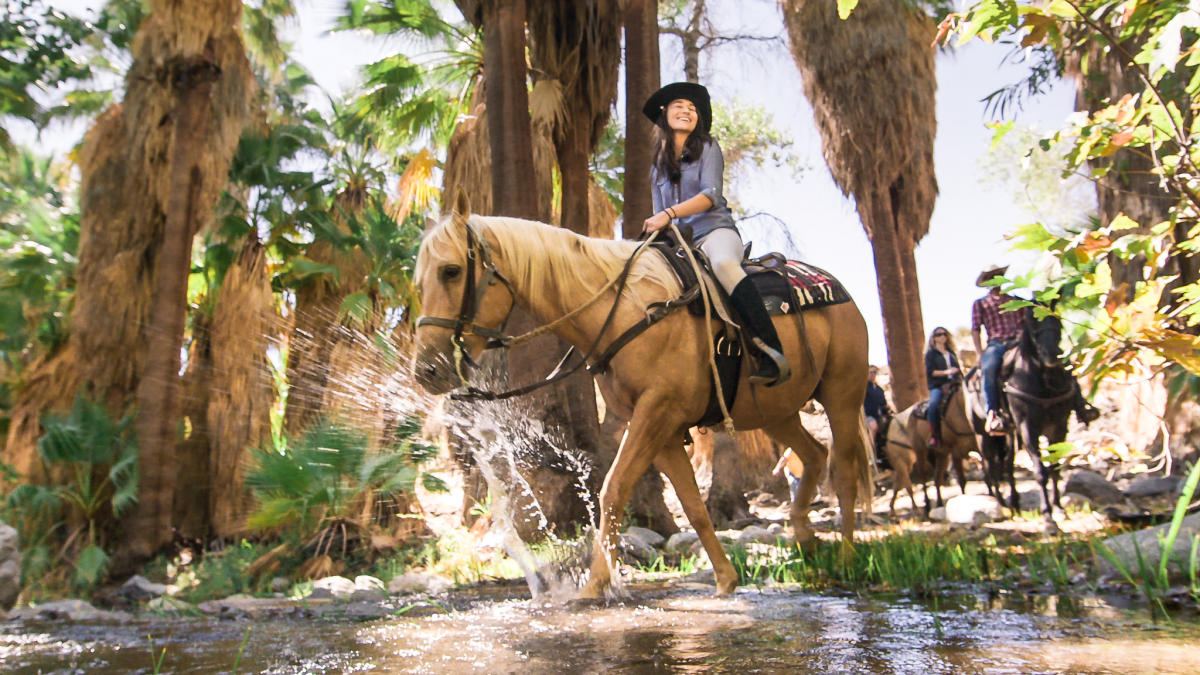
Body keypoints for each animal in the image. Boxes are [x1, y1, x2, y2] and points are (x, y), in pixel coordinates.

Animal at [412, 199, 873, 593]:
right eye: (418, 283)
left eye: (451, 271)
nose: (427, 370)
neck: (626, 310)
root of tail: (837, 289)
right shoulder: (661, 428)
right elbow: (693, 505)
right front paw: (726, 581)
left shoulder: (657, 413)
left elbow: (613, 489)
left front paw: (595, 587)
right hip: (775, 411)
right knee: (813, 454)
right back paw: (806, 541)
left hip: (843, 393)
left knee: (844, 471)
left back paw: (847, 558)